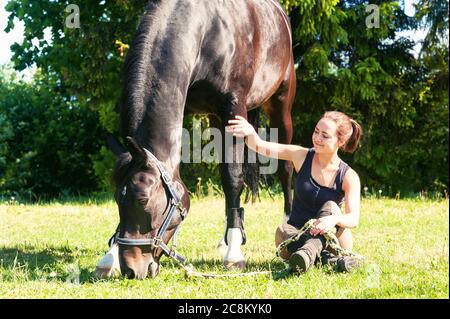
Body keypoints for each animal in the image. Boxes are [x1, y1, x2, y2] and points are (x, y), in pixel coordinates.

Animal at [100, 0, 296, 280]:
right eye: (117, 199)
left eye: (143, 199)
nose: (131, 268)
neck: (208, 28)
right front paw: (109, 257)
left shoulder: (233, 108)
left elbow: (232, 178)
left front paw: (234, 254)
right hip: (216, 118)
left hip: (280, 104)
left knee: (285, 167)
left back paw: (288, 227)